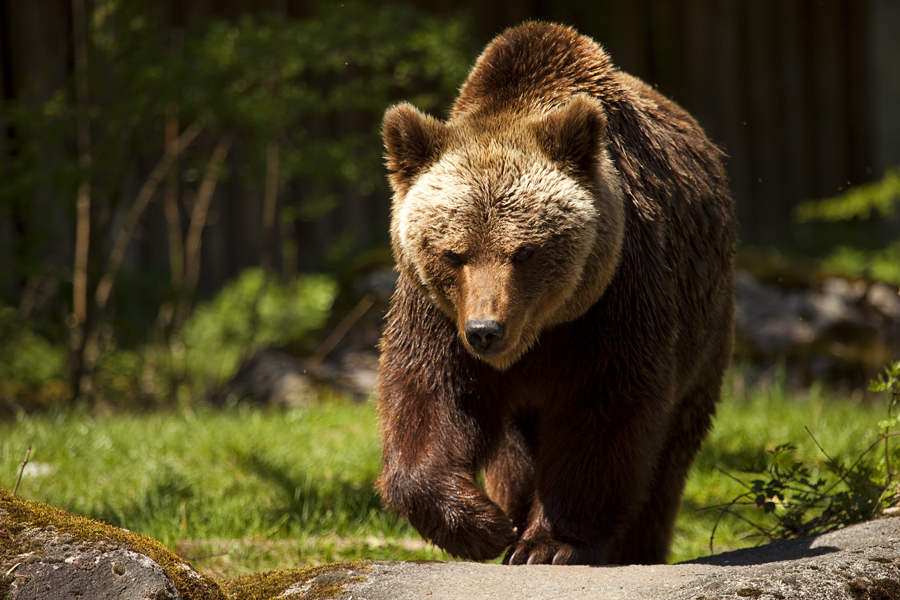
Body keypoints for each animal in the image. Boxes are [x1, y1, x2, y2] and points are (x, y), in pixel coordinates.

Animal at [376, 22, 736, 568]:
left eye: (525, 251)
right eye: (454, 253)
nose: (486, 331)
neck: (541, 334)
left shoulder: (616, 297)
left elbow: (604, 413)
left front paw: (547, 543)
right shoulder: (435, 312)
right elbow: (430, 395)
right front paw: (484, 525)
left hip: (705, 334)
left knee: (669, 456)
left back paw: (636, 545)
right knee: (512, 456)